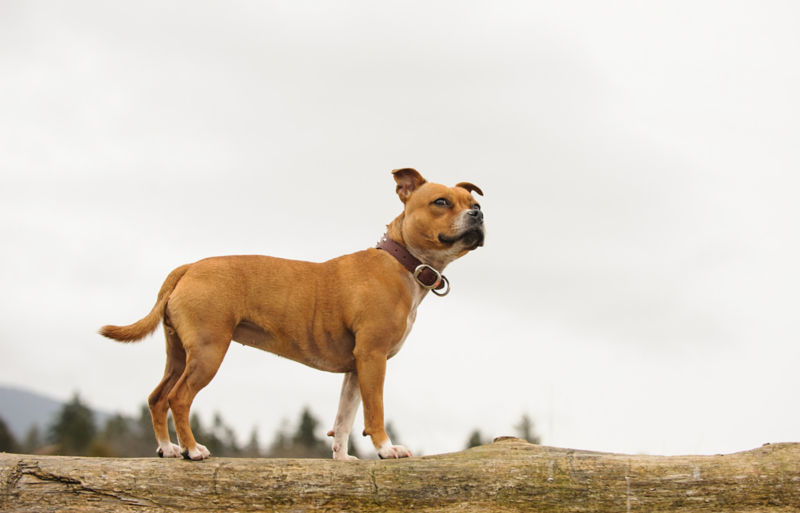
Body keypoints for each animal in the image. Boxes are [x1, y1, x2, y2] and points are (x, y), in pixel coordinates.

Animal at [97, 169, 484, 460]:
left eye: (475, 203)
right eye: (441, 202)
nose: (479, 214)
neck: (402, 260)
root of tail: (189, 267)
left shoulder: (355, 367)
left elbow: (344, 418)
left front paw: (342, 458)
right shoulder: (373, 357)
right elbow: (374, 411)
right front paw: (386, 449)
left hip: (179, 352)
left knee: (157, 396)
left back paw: (168, 448)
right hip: (208, 352)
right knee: (179, 398)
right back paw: (193, 450)